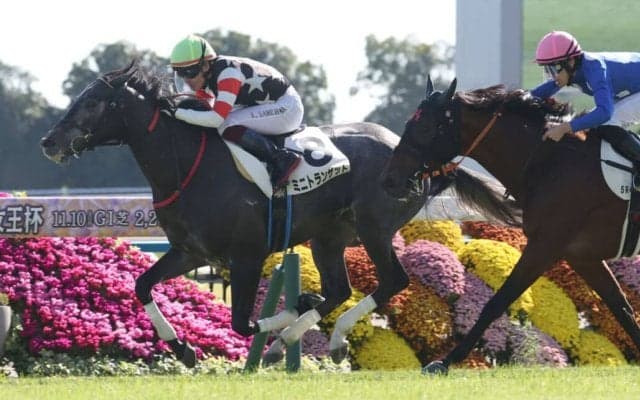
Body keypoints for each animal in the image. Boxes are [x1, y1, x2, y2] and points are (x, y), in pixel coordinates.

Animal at [40, 62, 518, 367]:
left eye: (93, 103)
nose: (49, 142)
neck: (186, 166)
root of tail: (424, 163)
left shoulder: (246, 255)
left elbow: (242, 321)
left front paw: (286, 319)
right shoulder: (191, 252)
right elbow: (142, 285)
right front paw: (183, 349)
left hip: (374, 228)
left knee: (391, 282)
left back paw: (307, 339)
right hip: (329, 237)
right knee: (340, 289)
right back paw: (296, 342)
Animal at [381, 76, 640, 374]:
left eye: (424, 127)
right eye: (407, 124)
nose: (389, 179)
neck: (551, 161)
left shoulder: (545, 245)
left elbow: (498, 301)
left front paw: (445, 361)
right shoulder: (581, 255)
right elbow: (621, 307)